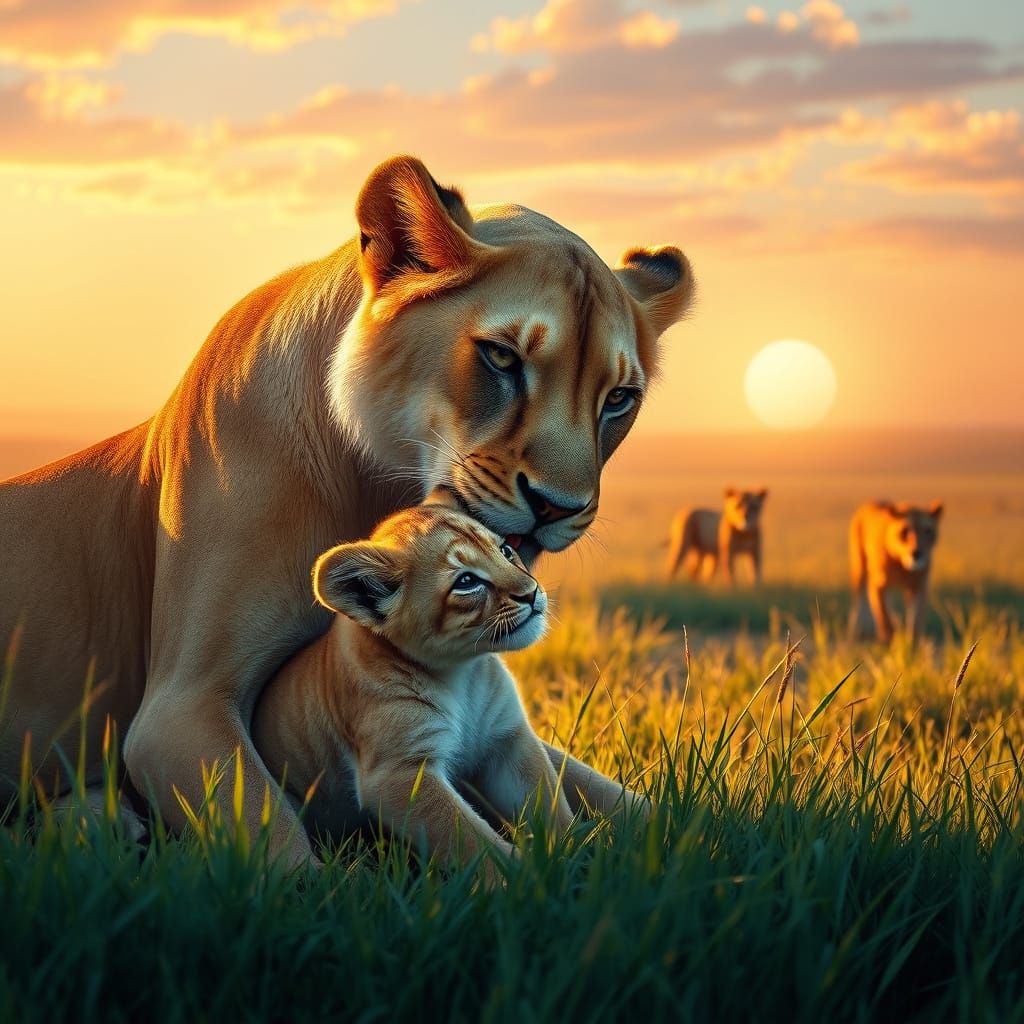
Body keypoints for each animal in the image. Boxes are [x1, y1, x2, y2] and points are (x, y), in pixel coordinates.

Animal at [0, 155, 693, 866]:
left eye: (619, 398)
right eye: (501, 357)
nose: (558, 508)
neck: (379, 489)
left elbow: (592, 786)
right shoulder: (178, 709)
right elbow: (285, 850)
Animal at [847, 500, 943, 644]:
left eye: (928, 531)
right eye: (904, 531)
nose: (916, 553)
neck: (901, 566)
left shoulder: (919, 586)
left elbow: (916, 619)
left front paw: (912, 644)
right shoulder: (878, 585)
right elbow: (883, 615)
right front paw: (888, 640)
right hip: (859, 568)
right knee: (859, 599)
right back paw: (858, 630)